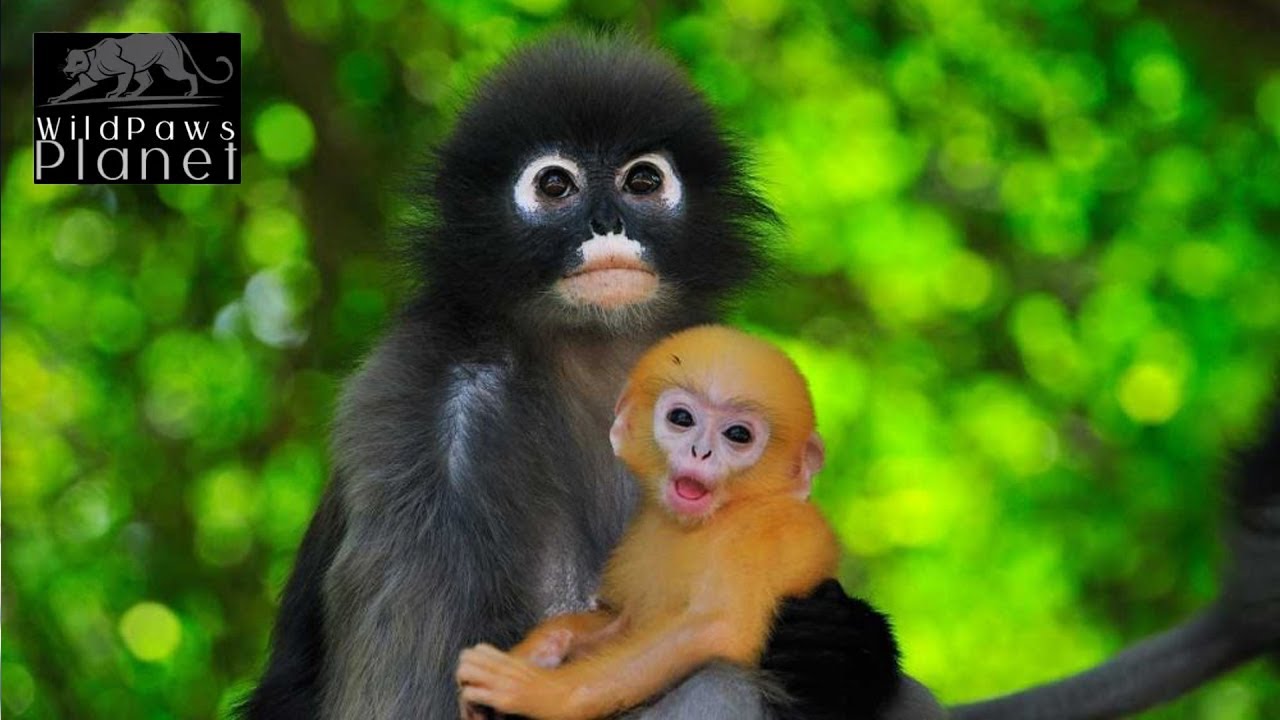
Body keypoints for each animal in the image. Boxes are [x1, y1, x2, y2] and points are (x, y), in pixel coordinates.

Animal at [457, 325, 884, 720]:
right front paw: (545, 646)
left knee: (722, 681)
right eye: (682, 418)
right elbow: (618, 622)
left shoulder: (762, 532)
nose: (700, 451)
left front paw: (538, 692)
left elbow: (719, 629)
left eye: (738, 435)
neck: (711, 519)